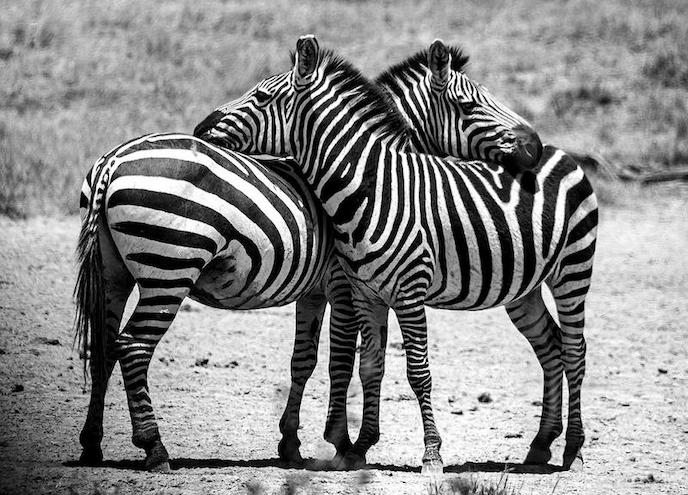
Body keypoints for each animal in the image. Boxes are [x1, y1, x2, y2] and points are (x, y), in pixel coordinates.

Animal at [193, 35, 598, 478]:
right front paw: (351, 445)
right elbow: (361, 364)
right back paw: (542, 444)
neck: (374, 187)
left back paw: (573, 449)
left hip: (572, 272)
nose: (533, 146)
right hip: (524, 290)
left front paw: (407, 450)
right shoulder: (360, 291)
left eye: (262, 96)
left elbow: (378, 366)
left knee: (575, 350)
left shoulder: (380, 290)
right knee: (552, 348)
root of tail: (565, 154)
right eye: (470, 104)